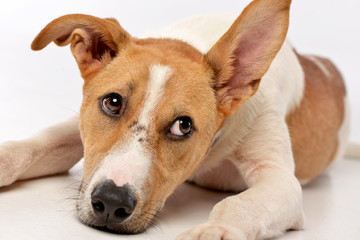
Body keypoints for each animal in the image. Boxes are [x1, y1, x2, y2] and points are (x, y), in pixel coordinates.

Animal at [0, 0, 356, 239]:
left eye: (183, 126)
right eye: (113, 103)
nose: (111, 204)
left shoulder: (279, 178)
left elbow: (240, 205)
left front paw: (215, 230)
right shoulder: (81, 127)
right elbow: (36, 143)